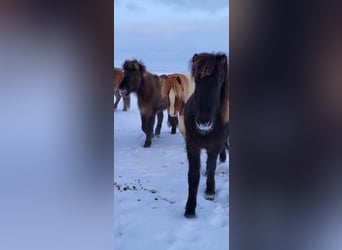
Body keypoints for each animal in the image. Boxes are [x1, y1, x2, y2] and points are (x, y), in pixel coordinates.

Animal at [184, 52, 230, 217]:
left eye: (219, 80)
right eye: (197, 80)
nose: (203, 122)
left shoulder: (214, 147)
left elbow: (211, 167)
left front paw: (210, 191)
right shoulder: (192, 146)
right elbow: (193, 176)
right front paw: (190, 208)